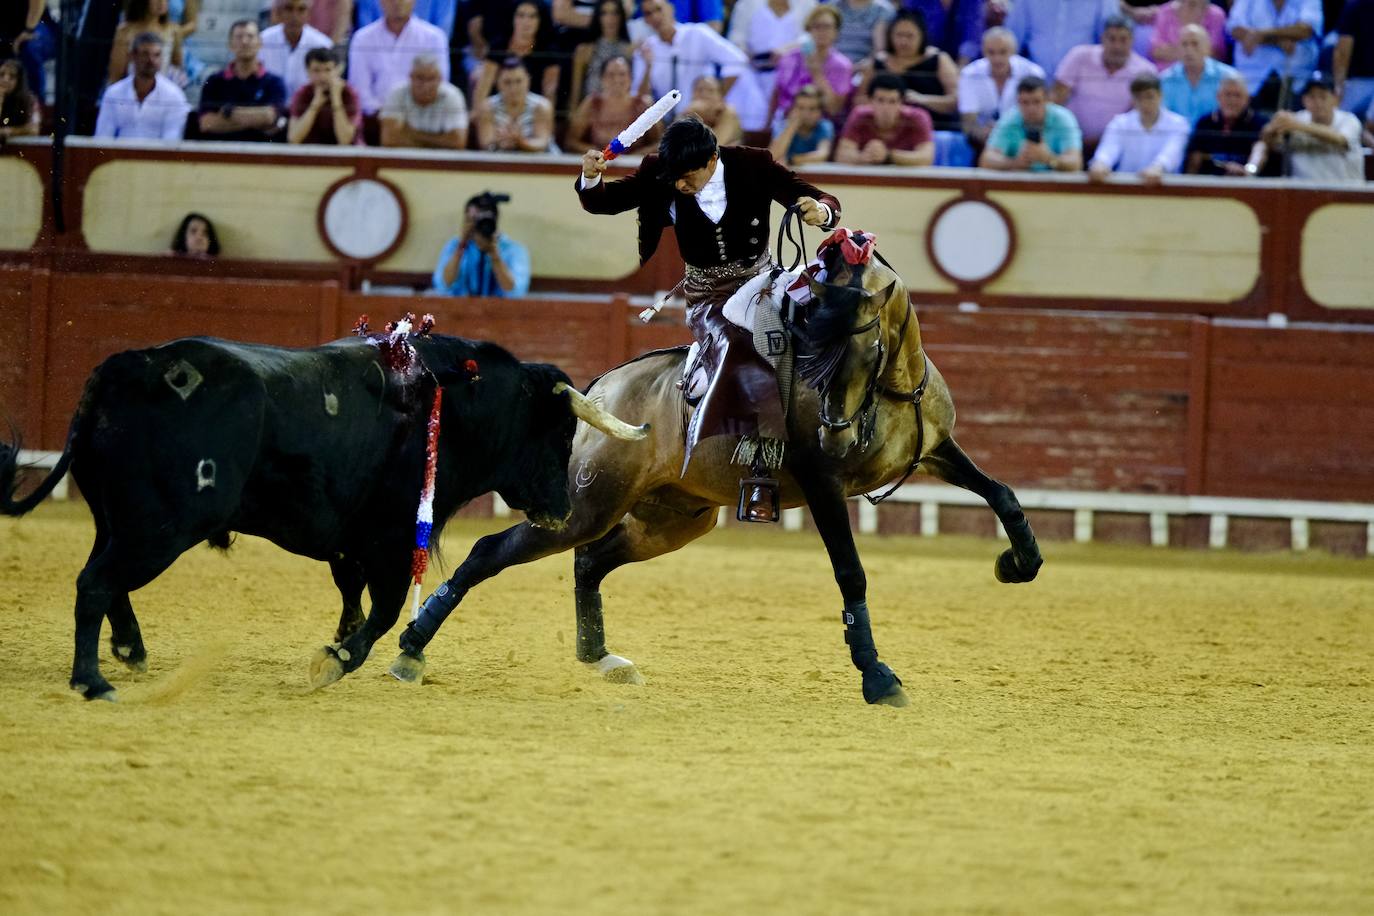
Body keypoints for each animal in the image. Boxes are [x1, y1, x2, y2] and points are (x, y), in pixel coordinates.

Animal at [0, 333, 618, 697]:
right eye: (560, 431)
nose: (563, 511)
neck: (454, 403)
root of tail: (122, 372)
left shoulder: (353, 540)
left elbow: (352, 593)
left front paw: (341, 642)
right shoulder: (392, 537)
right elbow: (384, 609)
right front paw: (338, 659)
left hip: (120, 520)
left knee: (107, 580)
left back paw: (131, 651)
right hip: (161, 526)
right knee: (96, 582)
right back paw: (92, 679)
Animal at [379, 233, 1038, 708]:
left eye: (863, 346)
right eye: (812, 345)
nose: (834, 433)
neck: (892, 390)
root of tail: (600, 389)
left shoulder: (937, 449)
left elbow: (1001, 493)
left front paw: (1018, 563)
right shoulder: (824, 484)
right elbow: (850, 572)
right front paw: (876, 675)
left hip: (674, 519)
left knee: (590, 561)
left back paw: (601, 657)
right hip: (584, 505)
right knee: (493, 550)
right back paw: (411, 648)